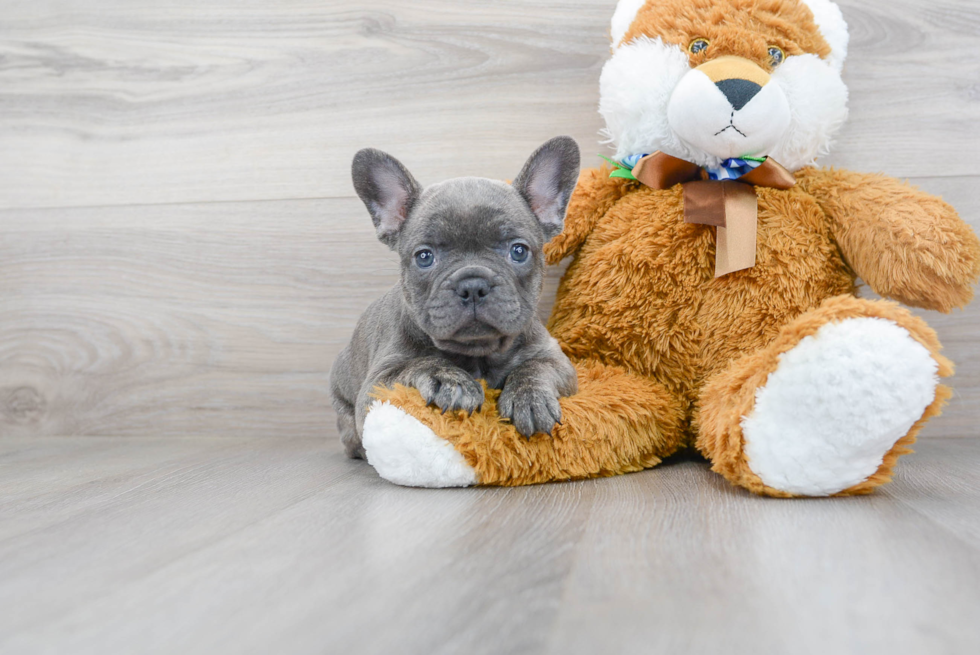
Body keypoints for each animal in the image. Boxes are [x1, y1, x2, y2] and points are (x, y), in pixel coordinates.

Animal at [334, 136, 580, 458]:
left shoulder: (555, 359)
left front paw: (529, 397)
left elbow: (535, 367)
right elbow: (418, 363)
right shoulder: (377, 383)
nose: (473, 285)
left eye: (518, 251)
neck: (478, 353)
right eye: (424, 257)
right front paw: (449, 380)